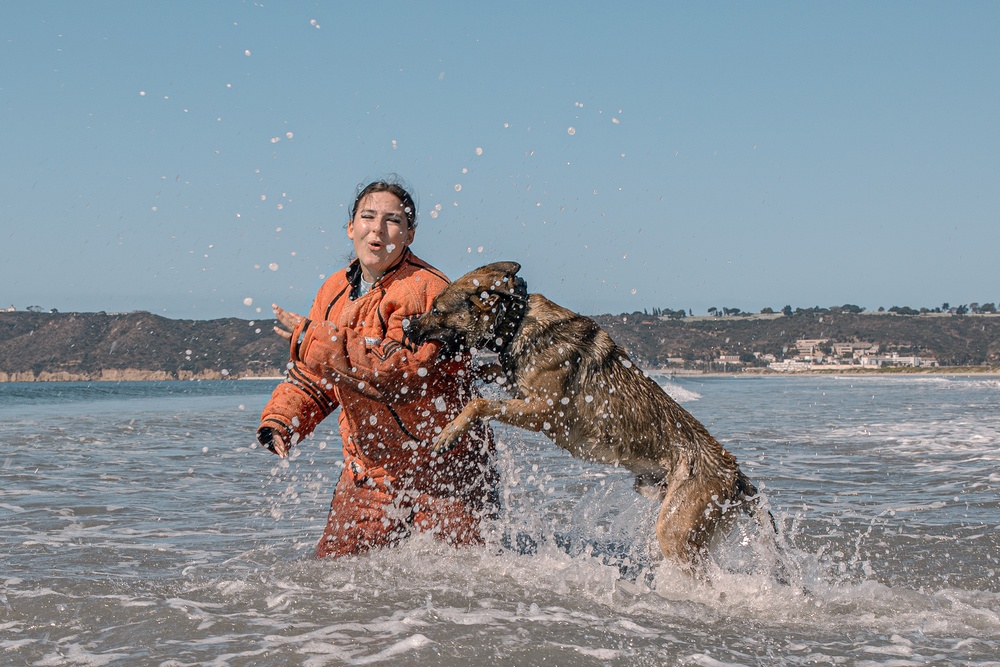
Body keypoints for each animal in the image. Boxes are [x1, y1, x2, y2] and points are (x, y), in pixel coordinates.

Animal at [402, 260, 776, 576]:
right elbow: (488, 373)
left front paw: (448, 433)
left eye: (436, 309)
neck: (517, 322)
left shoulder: (542, 411)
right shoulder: (516, 384)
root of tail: (735, 474)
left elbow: (479, 404)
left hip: (675, 531)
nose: (407, 327)